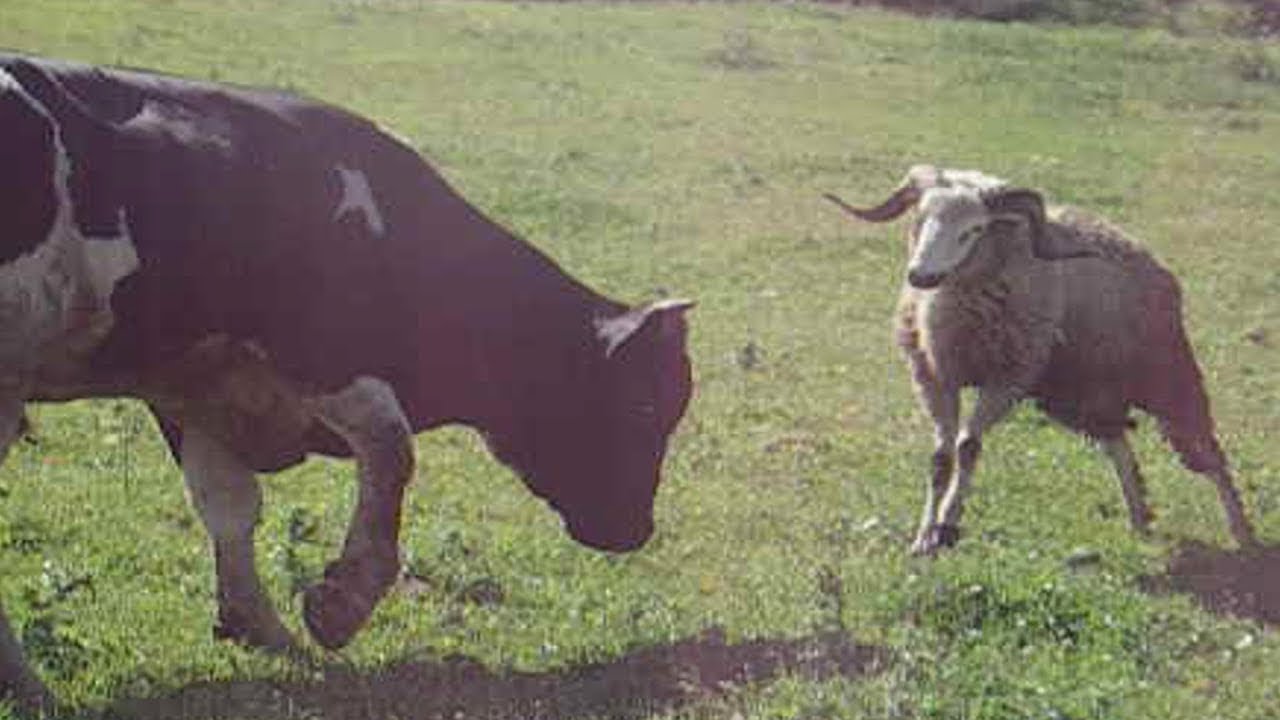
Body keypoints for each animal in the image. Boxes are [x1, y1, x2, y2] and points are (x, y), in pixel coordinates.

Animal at [0, 54, 694, 713]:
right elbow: (392, 451)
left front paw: (258, 625)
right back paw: (27, 684)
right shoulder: (322, 354)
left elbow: (230, 506)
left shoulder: (192, 384)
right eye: (643, 406)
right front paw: (341, 603)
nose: (637, 530)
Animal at [825, 164, 1257, 556]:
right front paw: (922, 538)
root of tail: (1140, 251)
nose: (921, 276)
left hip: (1168, 376)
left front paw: (947, 525)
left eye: (974, 230)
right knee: (1118, 444)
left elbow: (967, 447)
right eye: (921, 218)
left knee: (1208, 453)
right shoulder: (934, 377)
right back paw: (1139, 519)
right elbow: (940, 459)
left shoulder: (1007, 379)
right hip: (1086, 391)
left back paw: (1242, 532)